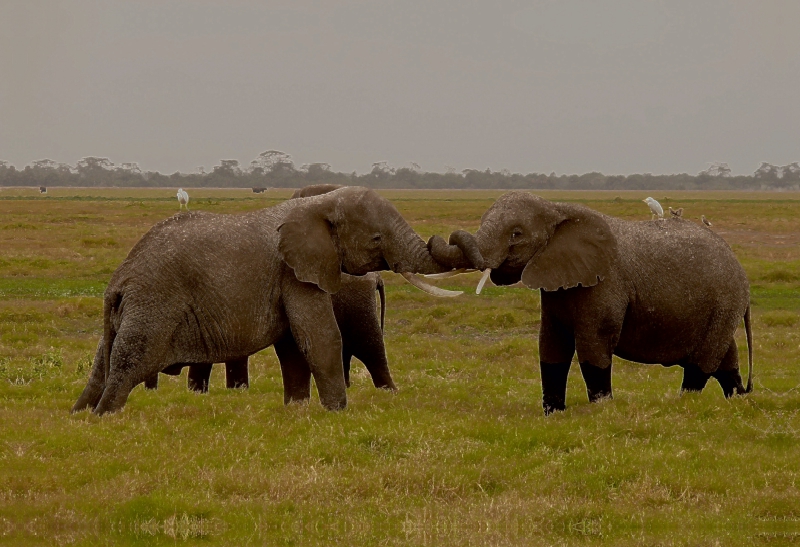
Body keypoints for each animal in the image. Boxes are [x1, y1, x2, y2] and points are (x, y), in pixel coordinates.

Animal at [145, 274, 394, 394]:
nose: (150, 391)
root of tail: (376, 277)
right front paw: (235, 391)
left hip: (357, 305)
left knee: (369, 348)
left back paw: (388, 392)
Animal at [428, 193, 752, 416]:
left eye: (516, 234)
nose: (433, 238)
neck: (557, 209)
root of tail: (741, 270)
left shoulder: (605, 283)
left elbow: (593, 345)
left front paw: (601, 409)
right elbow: (551, 345)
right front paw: (553, 414)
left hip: (725, 301)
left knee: (702, 364)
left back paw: (684, 404)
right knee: (727, 358)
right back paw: (739, 400)